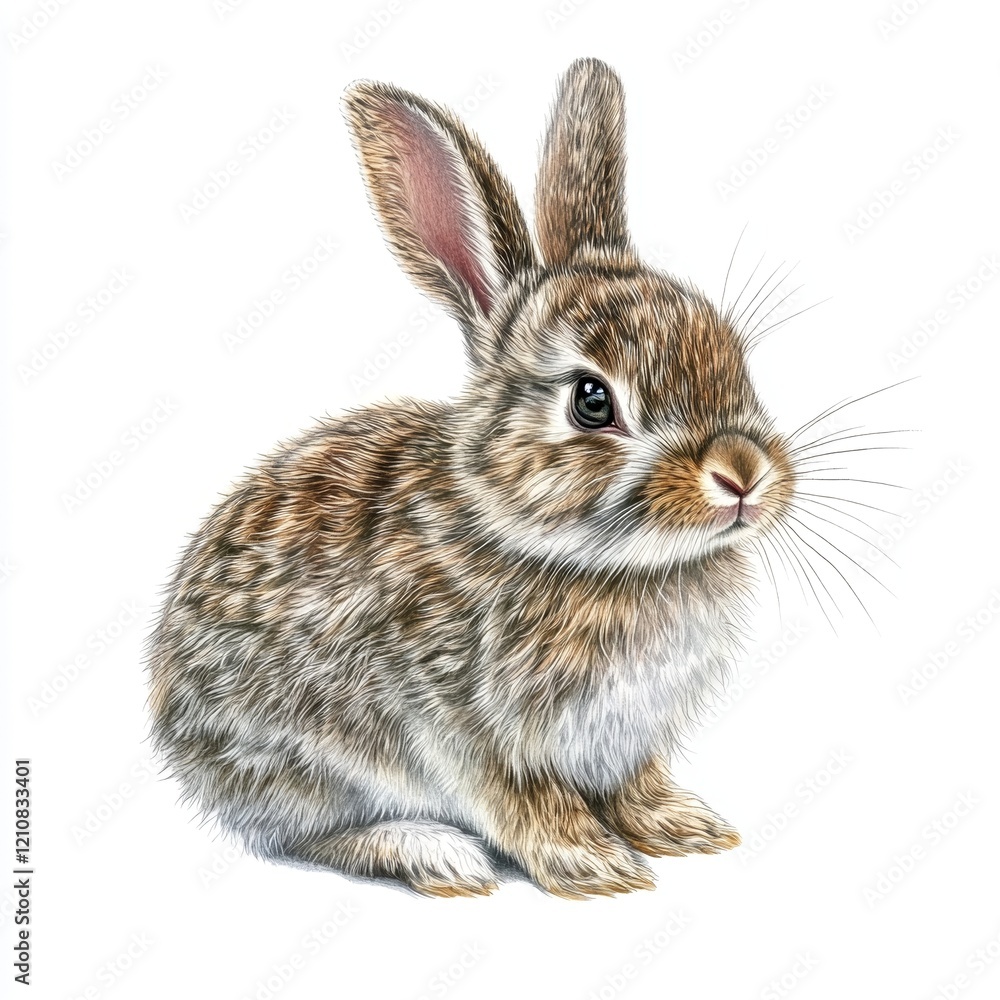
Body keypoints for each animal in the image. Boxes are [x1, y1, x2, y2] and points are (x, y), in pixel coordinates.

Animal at [147, 57, 798, 899]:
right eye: (592, 401)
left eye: (732, 354)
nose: (743, 474)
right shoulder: (460, 720)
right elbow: (522, 800)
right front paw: (594, 865)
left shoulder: (625, 739)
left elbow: (634, 784)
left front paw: (682, 826)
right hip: (302, 762)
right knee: (306, 834)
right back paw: (431, 852)